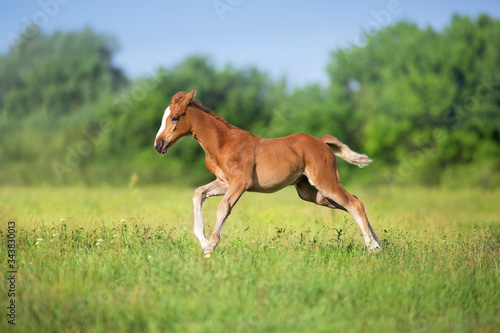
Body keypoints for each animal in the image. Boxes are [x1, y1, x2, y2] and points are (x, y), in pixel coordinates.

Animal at [154, 88, 380, 256]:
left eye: (174, 118)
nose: (158, 145)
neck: (222, 143)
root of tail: (322, 142)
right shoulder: (224, 182)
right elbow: (198, 193)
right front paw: (202, 240)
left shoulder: (241, 183)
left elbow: (223, 207)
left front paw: (210, 247)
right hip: (312, 193)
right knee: (353, 202)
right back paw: (378, 245)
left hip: (325, 181)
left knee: (355, 204)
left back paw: (372, 248)